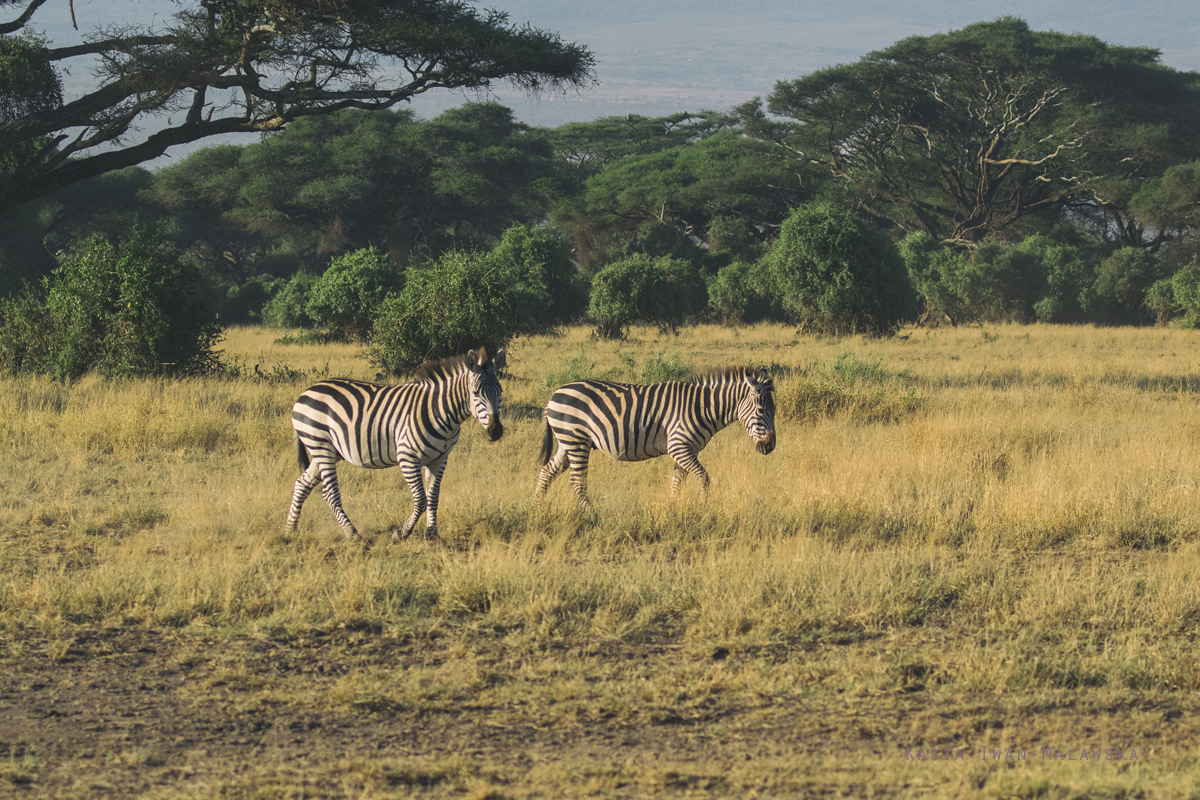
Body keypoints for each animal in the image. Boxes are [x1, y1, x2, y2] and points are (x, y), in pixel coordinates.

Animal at [288, 347, 504, 542]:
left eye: (500, 392)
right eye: (475, 393)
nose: (496, 431)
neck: (439, 411)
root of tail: (308, 391)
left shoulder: (439, 459)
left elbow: (433, 497)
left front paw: (433, 535)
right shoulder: (408, 457)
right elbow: (421, 499)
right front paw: (401, 534)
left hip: (327, 451)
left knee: (301, 484)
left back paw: (290, 531)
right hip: (320, 445)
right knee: (330, 494)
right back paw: (353, 535)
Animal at [537, 367, 777, 510]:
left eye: (774, 410)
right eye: (761, 410)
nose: (770, 446)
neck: (701, 407)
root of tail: (555, 394)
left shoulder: (686, 450)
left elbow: (676, 482)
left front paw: (673, 508)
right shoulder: (678, 445)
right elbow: (703, 477)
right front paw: (703, 507)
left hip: (567, 442)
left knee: (547, 471)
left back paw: (537, 508)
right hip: (576, 440)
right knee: (577, 482)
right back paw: (592, 514)